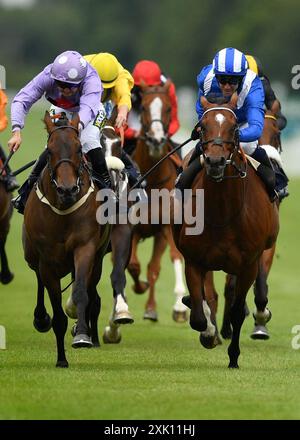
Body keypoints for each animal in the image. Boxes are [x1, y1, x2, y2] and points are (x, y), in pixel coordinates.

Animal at [22, 112, 111, 368]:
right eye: (49, 150)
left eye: (79, 148)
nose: (68, 189)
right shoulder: (46, 261)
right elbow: (56, 309)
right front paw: (61, 358)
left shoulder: (85, 247)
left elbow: (81, 292)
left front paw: (82, 335)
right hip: (31, 256)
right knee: (38, 280)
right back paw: (41, 318)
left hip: (98, 258)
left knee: (91, 290)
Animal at [126, 82, 188, 322]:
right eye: (142, 107)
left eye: (169, 108)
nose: (156, 139)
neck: (151, 180)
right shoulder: (132, 228)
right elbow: (132, 264)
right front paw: (138, 286)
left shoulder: (167, 226)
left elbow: (174, 257)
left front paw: (180, 307)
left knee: (154, 267)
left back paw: (151, 309)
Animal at [171, 95, 278, 368]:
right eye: (202, 126)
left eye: (234, 127)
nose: (215, 161)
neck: (223, 213)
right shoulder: (195, 260)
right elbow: (199, 315)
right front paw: (209, 332)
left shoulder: (248, 263)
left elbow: (239, 309)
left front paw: (234, 356)